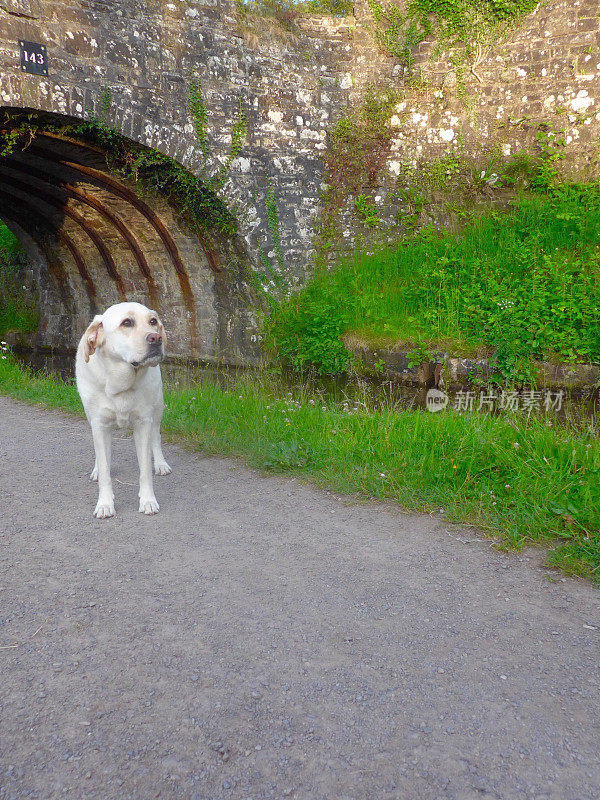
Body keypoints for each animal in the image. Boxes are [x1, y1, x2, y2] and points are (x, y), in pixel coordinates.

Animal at [75, 302, 171, 520]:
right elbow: (104, 467)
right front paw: (105, 504)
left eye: (153, 321)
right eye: (127, 323)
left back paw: (161, 463)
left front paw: (148, 501)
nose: (156, 338)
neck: (121, 384)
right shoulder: (99, 424)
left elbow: (145, 470)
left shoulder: (143, 423)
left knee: (156, 436)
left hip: (158, 407)